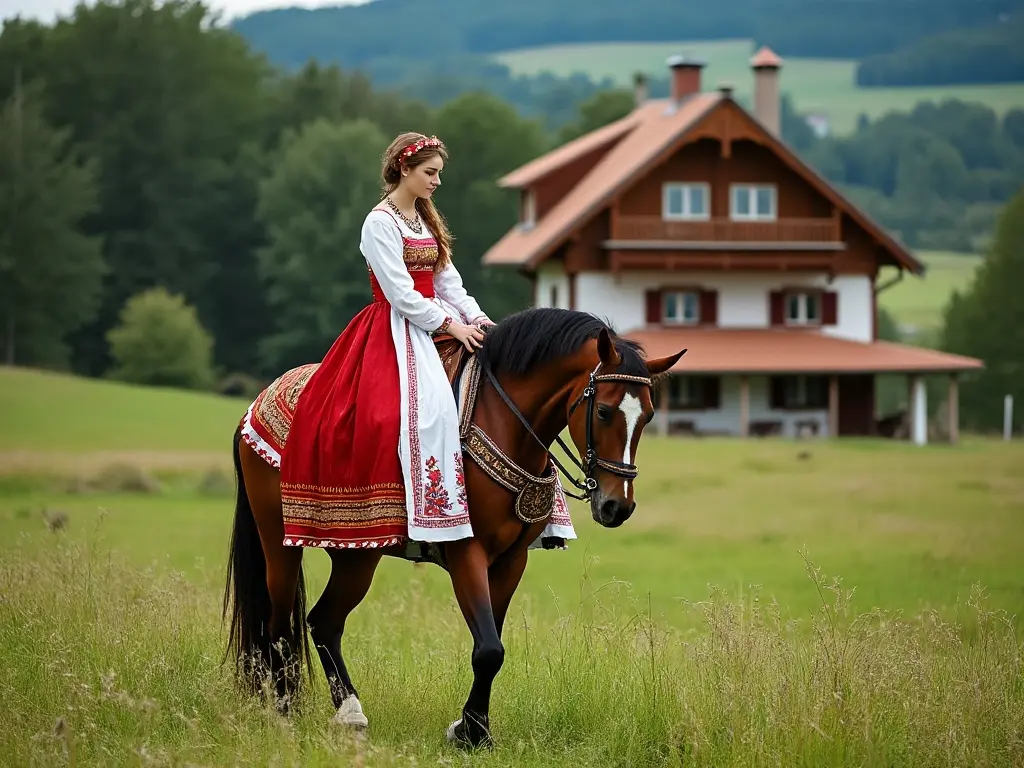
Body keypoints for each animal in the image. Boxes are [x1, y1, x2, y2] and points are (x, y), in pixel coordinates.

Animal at [225, 307, 688, 753]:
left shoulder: (510, 561)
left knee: (323, 621)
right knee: (278, 626)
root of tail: (258, 402)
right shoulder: (469, 551)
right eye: (605, 411)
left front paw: (472, 727)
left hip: (357, 552)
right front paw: (472, 733)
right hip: (280, 547)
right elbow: (489, 649)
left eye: (647, 416)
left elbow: (491, 646)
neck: (505, 422)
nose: (617, 506)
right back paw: (283, 711)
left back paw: (350, 713)